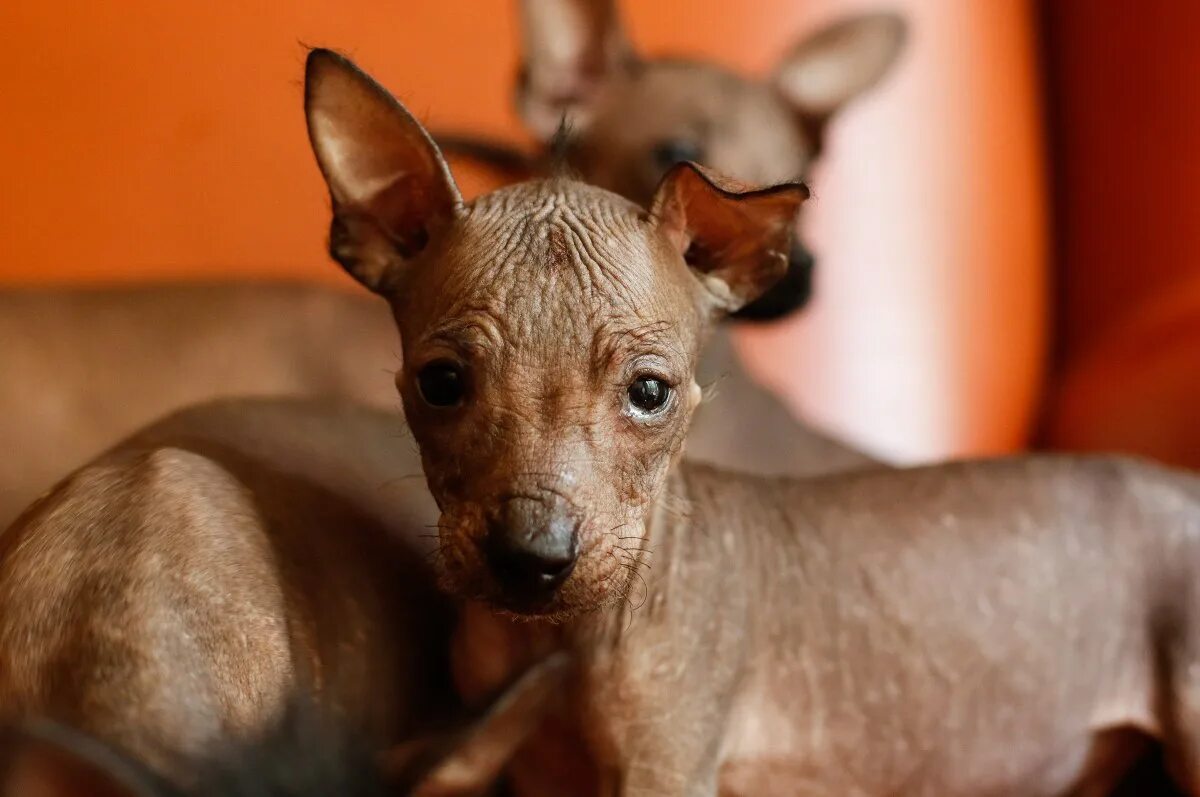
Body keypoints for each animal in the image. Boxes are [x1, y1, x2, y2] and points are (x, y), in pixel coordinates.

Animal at [302, 51, 1200, 797]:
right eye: (442, 382)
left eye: (650, 391)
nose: (533, 557)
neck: (555, 640)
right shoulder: (521, 766)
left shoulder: (667, 764)